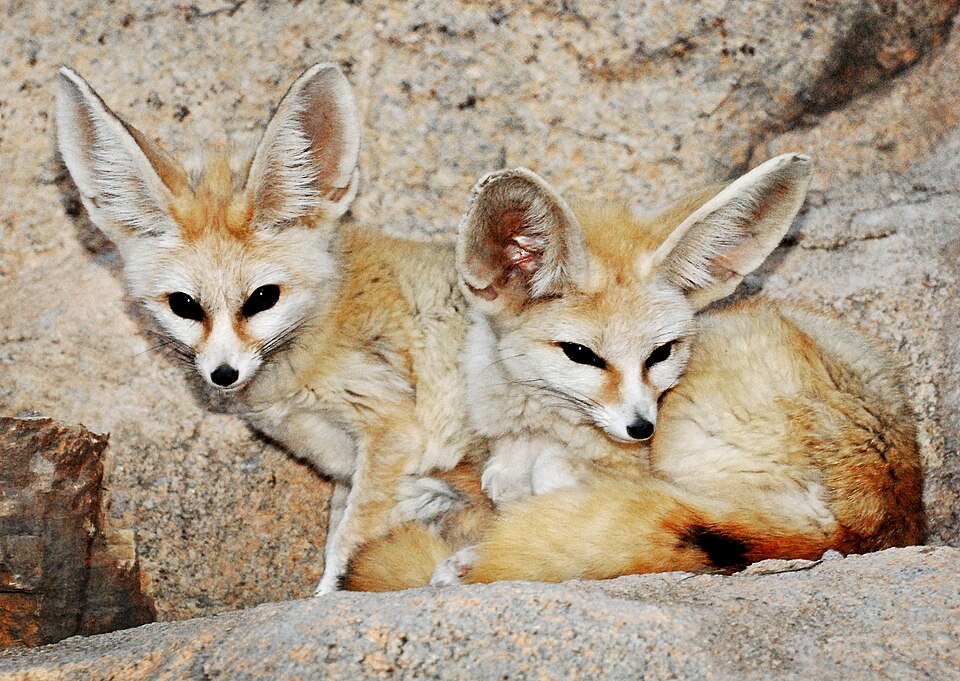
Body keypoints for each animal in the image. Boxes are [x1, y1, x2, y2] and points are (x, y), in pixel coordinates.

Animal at [54, 62, 485, 595]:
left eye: (263, 298)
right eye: (184, 305)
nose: (223, 375)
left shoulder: (392, 431)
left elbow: (349, 541)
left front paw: (326, 597)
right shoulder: (347, 470)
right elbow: (338, 533)